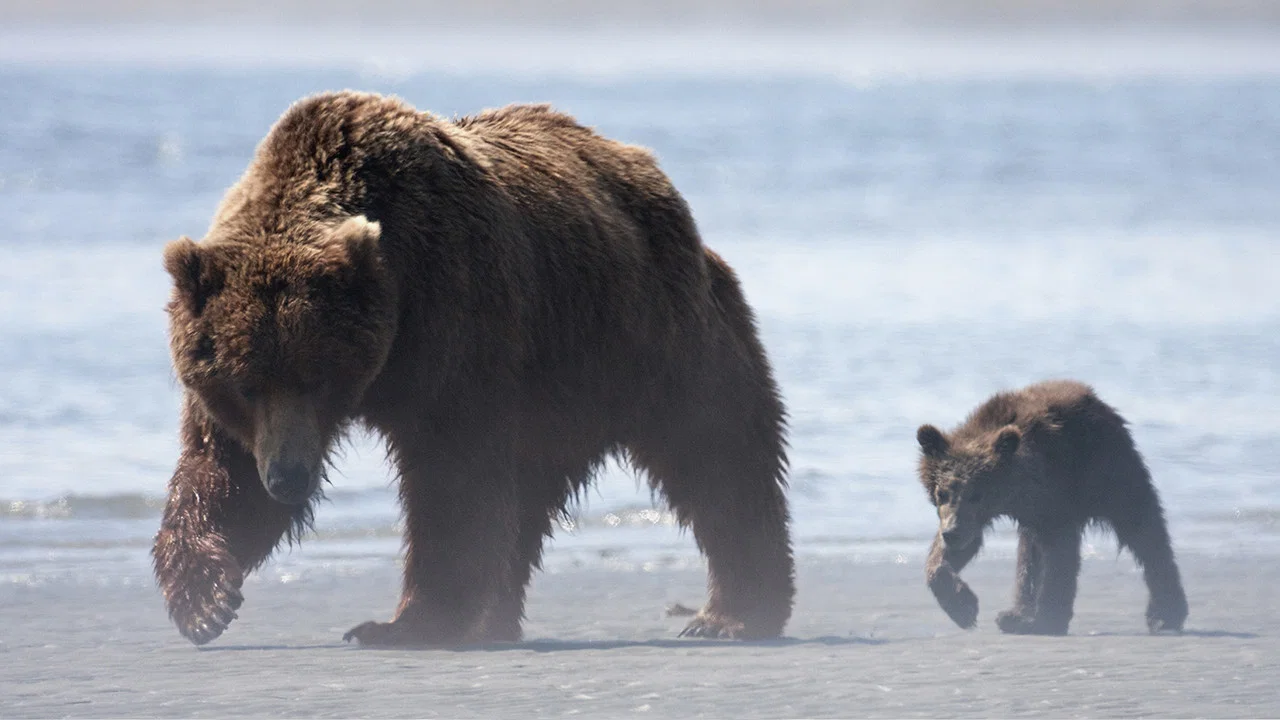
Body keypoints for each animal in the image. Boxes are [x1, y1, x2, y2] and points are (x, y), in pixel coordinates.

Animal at [151, 90, 795, 647]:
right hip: (556, 392)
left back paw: (735, 613)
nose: (287, 477)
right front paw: (205, 598)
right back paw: (495, 621)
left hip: (645, 338)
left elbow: (450, 473)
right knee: (528, 497)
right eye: (245, 385)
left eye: (317, 378)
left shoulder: (453, 317)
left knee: (714, 453)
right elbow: (220, 468)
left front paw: (403, 623)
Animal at [915, 379, 1188, 636]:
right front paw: (963, 607)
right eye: (942, 492)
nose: (952, 532)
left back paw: (1165, 614)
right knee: (1029, 552)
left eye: (977, 494)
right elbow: (956, 552)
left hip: (1109, 472)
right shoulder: (986, 515)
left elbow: (1059, 554)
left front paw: (1047, 619)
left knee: (1144, 530)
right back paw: (1016, 615)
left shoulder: (1054, 496)